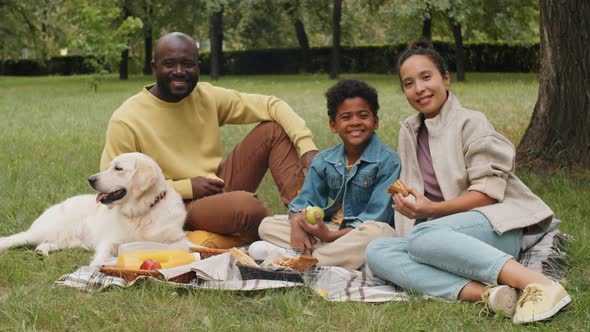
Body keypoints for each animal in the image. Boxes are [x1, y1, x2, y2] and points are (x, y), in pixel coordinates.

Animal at [0, 152, 187, 264]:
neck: (140, 213)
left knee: (45, 244)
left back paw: (41, 251)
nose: (90, 179)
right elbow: (101, 258)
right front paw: (94, 270)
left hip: (69, 240)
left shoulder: (179, 241)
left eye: (118, 168)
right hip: (45, 230)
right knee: (13, 238)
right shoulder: (109, 241)